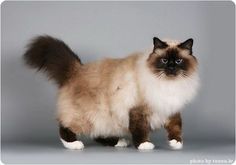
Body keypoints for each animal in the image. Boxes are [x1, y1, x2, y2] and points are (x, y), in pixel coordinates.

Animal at [23, 35, 199, 150]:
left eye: (178, 61)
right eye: (164, 60)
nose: (171, 68)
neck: (169, 85)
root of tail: (77, 69)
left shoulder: (171, 109)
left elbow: (176, 127)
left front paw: (176, 143)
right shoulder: (138, 110)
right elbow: (140, 130)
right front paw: (144, 145)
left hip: (104, 118)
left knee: (98, 135)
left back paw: (119, 142)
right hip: (87, 116)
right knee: (65, 126)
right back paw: (73, 144)